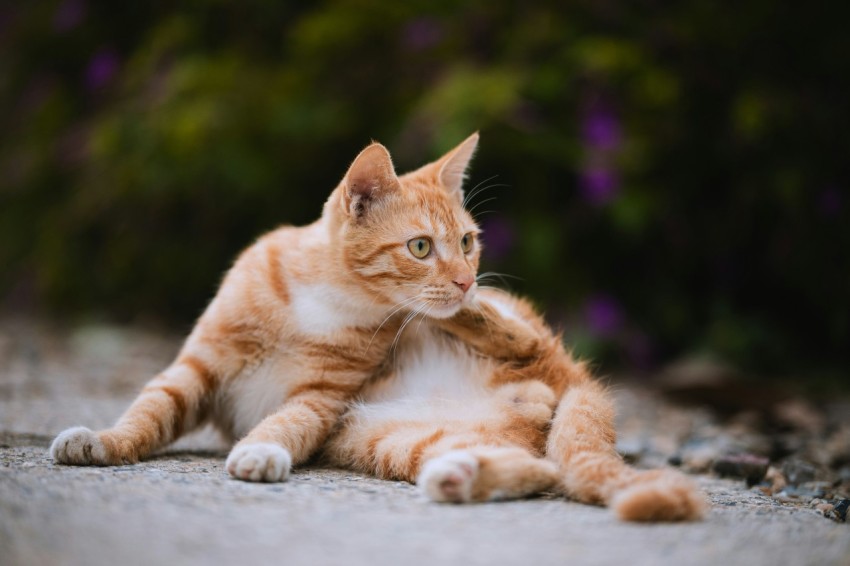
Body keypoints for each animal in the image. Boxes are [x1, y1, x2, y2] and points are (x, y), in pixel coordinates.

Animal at [49, 134, 704, 524]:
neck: (321, 298)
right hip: (387, 438)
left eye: (468, 241)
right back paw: (459, 474)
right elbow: (148, 410)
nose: (465, 278)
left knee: (527, 352)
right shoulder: (199, 366)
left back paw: (483, 330)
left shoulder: (319, 398)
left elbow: (285, 422)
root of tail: (573, 384)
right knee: (542, 467)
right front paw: (103, 442)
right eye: (420, 247)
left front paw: (261, 449)